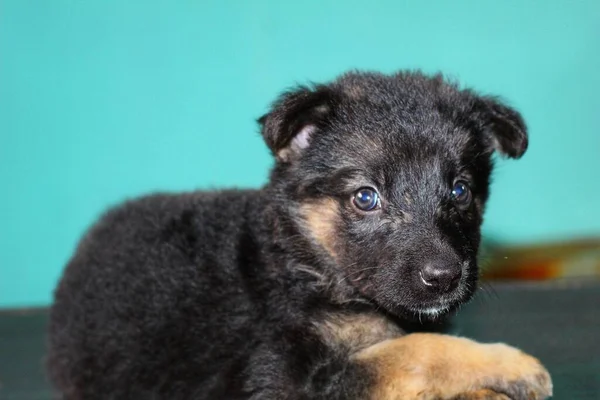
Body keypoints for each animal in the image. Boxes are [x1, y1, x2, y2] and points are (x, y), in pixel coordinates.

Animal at [47, 72, 552, 400]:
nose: (445, 277)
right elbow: (416, 352)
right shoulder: (289, 377)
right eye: (366, 198)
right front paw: (510, 365)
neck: (305, 261)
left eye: (460, 190)